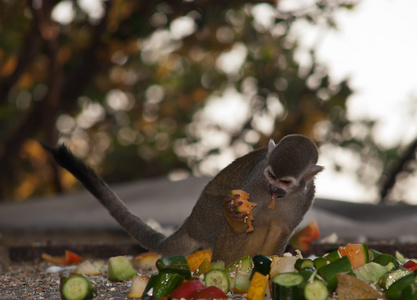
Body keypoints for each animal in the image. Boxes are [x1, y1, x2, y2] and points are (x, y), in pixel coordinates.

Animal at [44, 134, 322, 262]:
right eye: (271, 175)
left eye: (285, 182)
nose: (273, 189)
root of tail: (190, 223)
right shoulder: (256, 181)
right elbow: (241, 214)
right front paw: (234, 217)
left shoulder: (305, 198)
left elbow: (282, 230)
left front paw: (272, 265)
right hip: (205, 217)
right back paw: (223, 262)